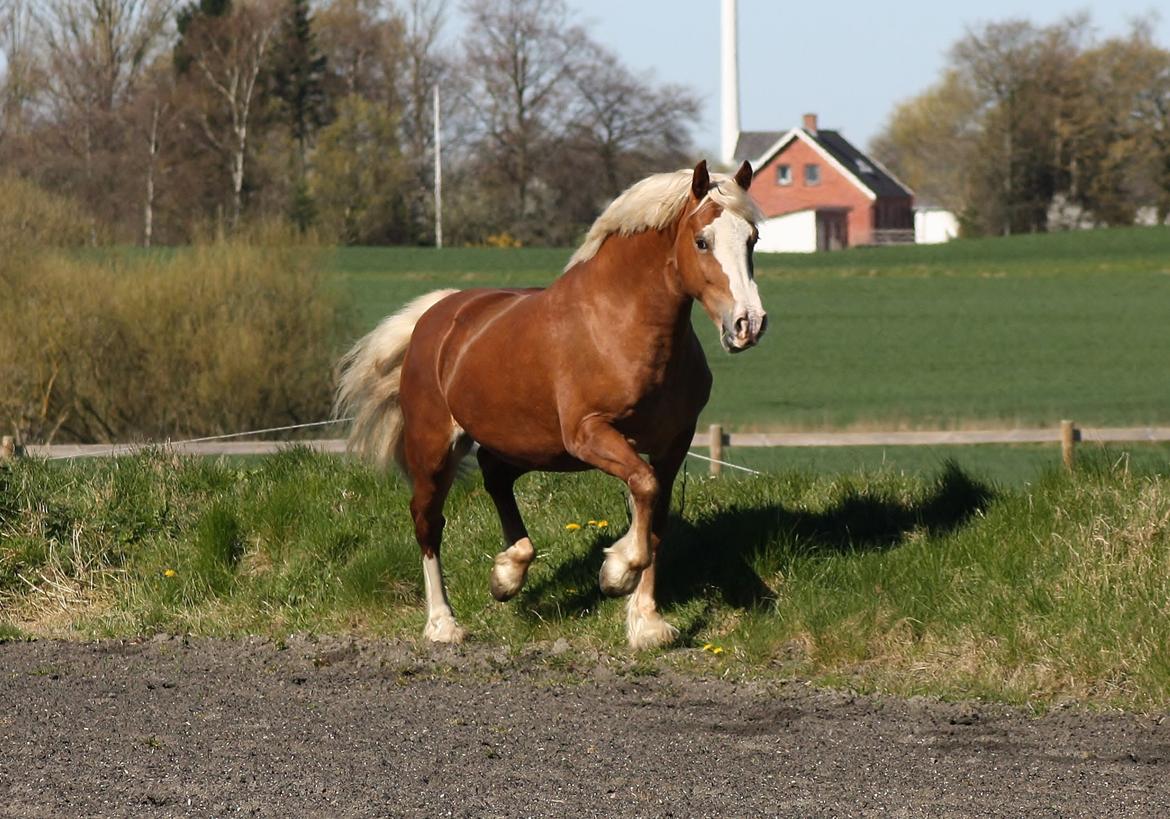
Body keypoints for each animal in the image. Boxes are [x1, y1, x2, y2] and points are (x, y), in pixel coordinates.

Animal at [336, 157, 767, 645]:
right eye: (701, 241)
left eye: (752, 239)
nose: (748, 324)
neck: (620, 324)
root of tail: (437, 315)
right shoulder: (589, 433)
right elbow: (644, 487)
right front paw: (616, 572)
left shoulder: (674, 442)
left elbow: (656, 519)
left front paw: (647, 623)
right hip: (435, 449)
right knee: (428, 521)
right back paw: (443, 623)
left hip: (529, 445)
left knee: (495, 475)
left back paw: (508, 573)